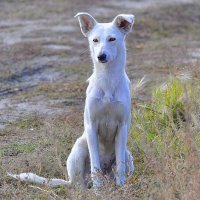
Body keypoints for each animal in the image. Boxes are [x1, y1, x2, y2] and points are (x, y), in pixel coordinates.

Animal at [8, 12, 135, 191]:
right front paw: (98, 192)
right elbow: (95, 165)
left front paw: (122, 189)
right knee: (80, 185)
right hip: (79, 148)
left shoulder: (122, 127)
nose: (101, 56)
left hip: (127, 155)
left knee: (117, 168)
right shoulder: (91, 126)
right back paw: (90, 190)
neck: (108, 79)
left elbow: (121, 167)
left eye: (112, 39)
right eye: (95, 40)